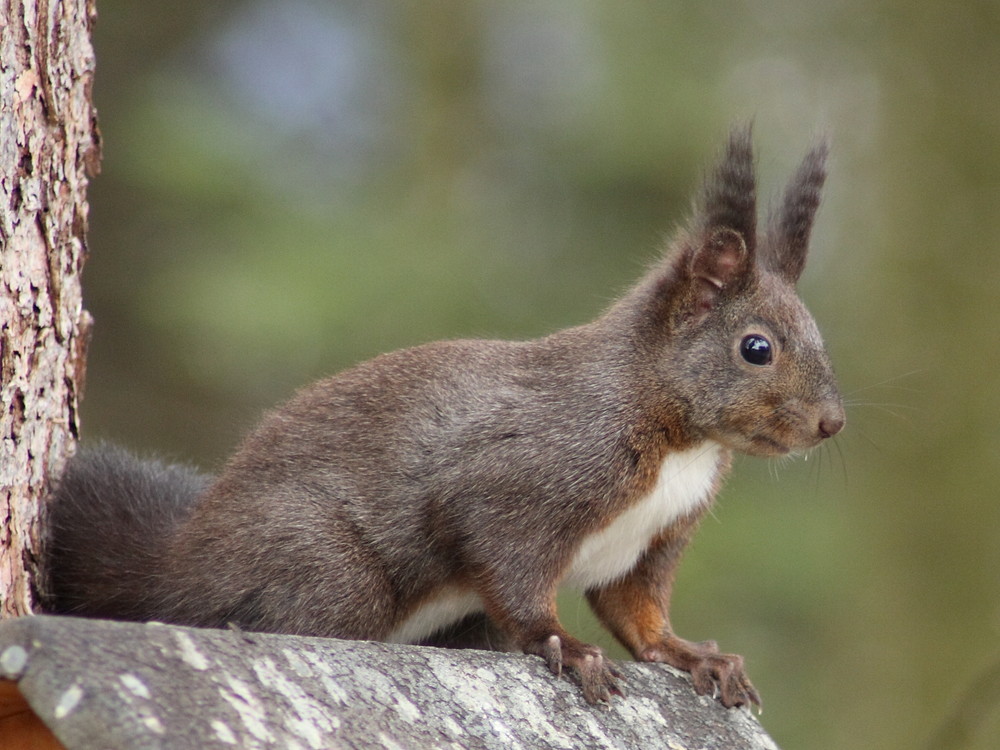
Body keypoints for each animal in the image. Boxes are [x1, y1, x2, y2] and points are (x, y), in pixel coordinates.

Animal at [45, 128, 844, 712]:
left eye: (817, 333)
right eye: (757, 348)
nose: (831, 424)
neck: (679, 435)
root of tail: (177, 565)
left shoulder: (650, 543)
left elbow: (638, 615)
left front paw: (694, 656)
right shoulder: (528, 476)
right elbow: (510, 565)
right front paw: (566, 646)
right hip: (323, 566)